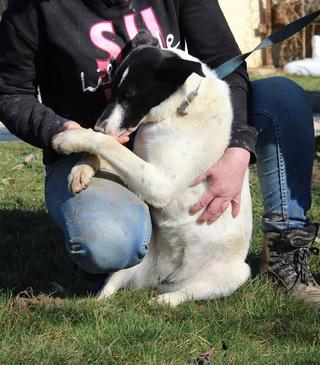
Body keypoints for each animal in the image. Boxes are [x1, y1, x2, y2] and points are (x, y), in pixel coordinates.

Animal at [52, 31, 252, 306]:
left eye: (130, 95)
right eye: (112, 92)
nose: (99, 125)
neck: (181, 107)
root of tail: (164, 275)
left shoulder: (159, 183)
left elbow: (108, 144)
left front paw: (69, 139)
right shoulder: (139, 160)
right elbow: (110, 148)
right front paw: (81, 168)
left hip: (236, 274)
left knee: (186, 293)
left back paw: (164, 301)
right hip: (132, 263)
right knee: (108, 292)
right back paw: (88, 303)